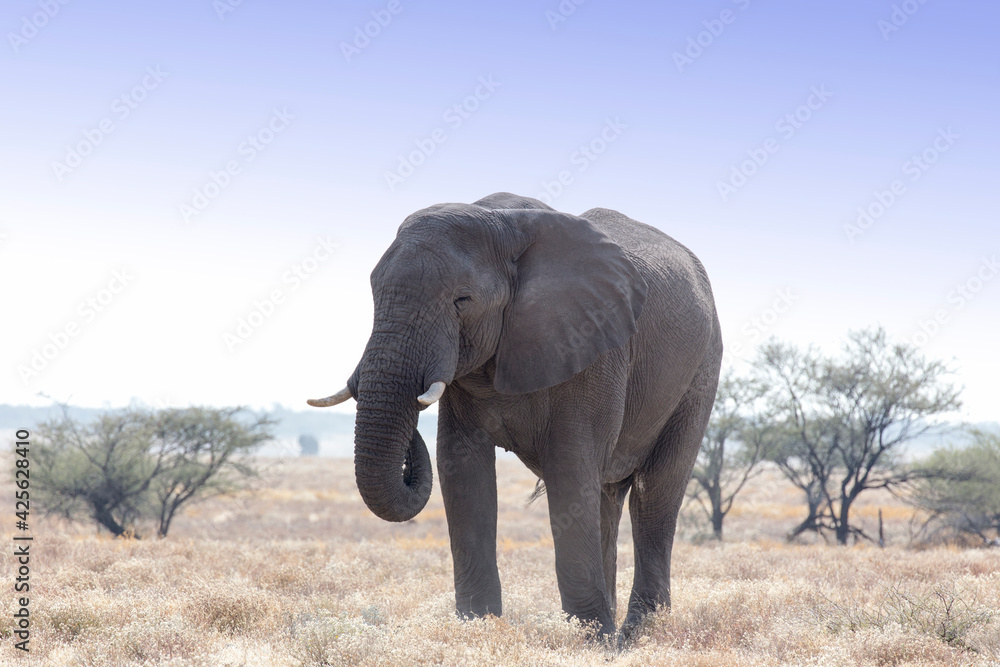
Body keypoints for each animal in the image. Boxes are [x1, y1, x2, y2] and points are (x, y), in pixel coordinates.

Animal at [308, 192, 722, 640]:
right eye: (373, 290)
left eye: (462, 300)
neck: (503, 223)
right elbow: (461, 470)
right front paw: (478, 628)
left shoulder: (592, 343)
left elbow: (570, 470)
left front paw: (588, 641)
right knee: (608, 495)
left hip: (702, 368)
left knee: (655, 492)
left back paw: (638, 633)